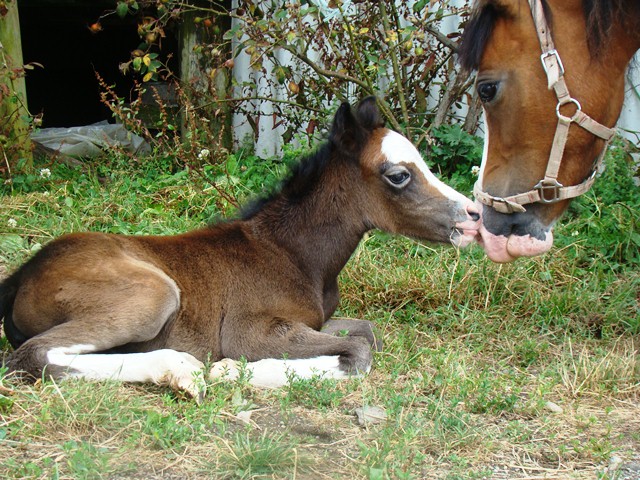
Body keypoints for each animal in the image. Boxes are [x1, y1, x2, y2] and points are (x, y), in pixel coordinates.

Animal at [0, 97, 481, 399]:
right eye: (398, 175)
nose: (473, 217)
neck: (293, 254)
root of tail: (22, 273)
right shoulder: (250, 329)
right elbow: (358, 352)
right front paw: (230, 370)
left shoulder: (315, 319)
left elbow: (365, 331)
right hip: (154, 294)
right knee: (33, 354)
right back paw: (181, 370)